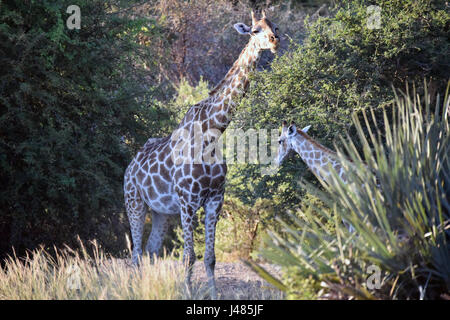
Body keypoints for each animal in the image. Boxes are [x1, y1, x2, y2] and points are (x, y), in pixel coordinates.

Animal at [123, 10, 278, 300]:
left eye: (274, 26)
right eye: (255, 30)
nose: (275, 41)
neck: (212, 133)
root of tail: (129, 167)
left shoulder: (215, 199)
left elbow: (210, 258)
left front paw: (213, 295)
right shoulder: (188, 201)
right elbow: (188, 257)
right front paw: (187, 292)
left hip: (160, 211)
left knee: (150, 250)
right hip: (134, 202)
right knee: (136, 253)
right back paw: (133, 289)